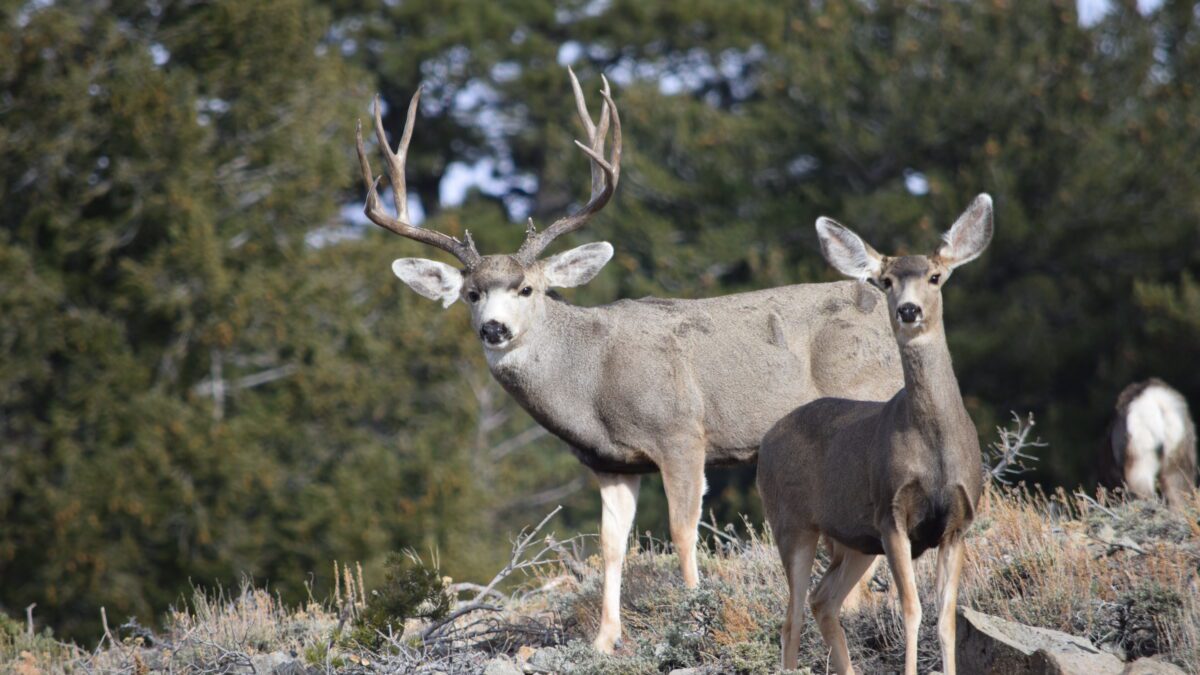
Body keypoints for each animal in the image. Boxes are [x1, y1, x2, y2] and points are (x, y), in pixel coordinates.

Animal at [354, 68, 903, 652]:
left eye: (527, 288)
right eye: (470, 294)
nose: (494, 329)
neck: (593, 379)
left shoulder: (682, 432)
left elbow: (683, 532)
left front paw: (694, 613)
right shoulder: (611, 463)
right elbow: (611, 546)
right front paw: (603, 640)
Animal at [757, 195, 993, 675]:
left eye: (935, 276)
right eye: (885, 282)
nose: (909, 310)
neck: (935, 447)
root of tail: (764, 444)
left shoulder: (958, 523)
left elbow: (946, 617)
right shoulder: (891, 513)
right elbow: (911, 609)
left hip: (854, 541)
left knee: (823, 600)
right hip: (791, 523)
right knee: (791, 619)